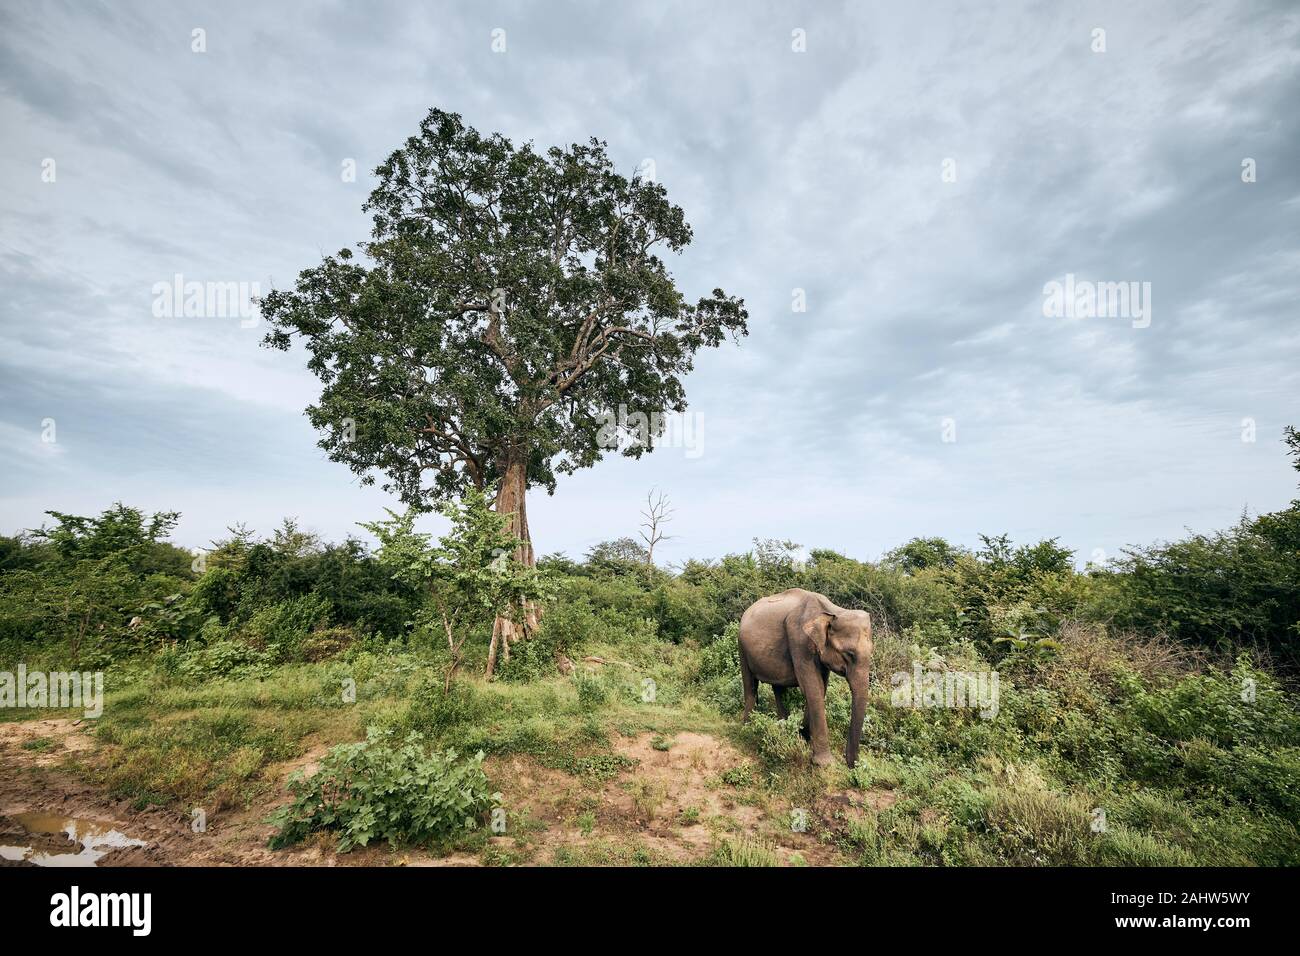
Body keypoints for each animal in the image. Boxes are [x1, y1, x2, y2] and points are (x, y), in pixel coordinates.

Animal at [743, 587, 873, 764]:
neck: (832, 611)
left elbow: (820, 687)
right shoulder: (799, 640)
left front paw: (803, 735)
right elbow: (812, 687)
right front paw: (824, 763)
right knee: (750, 685)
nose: (851, 764)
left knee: (778, 688)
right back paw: (747, 727)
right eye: (849, 654)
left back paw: (783, 727)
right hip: (742, 646)